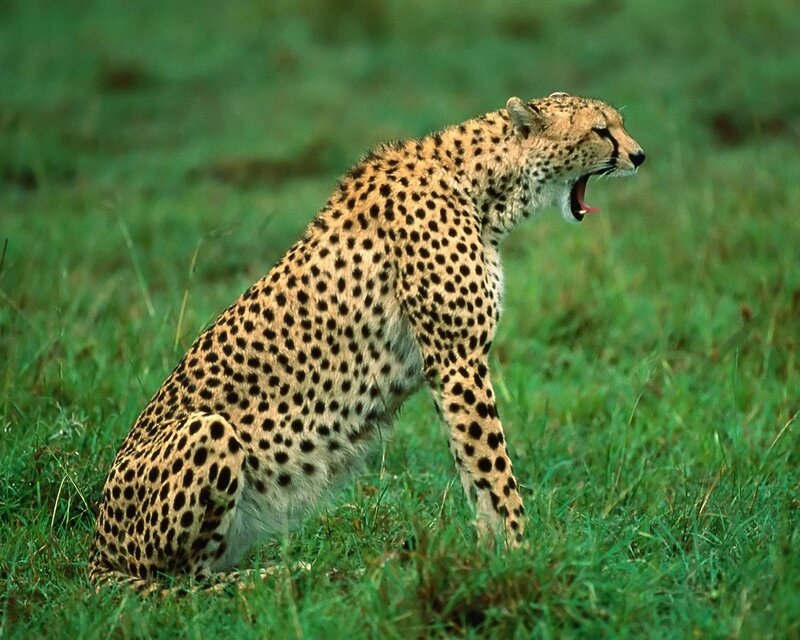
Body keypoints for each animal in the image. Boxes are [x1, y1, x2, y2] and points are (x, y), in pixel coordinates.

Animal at [88, 92, 645, 591]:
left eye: (618, 124)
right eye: (601, 130)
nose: (639, 155)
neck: (483, 184)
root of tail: (96, 549)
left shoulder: (451, 368)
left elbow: (473, 470)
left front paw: (491, 555)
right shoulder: (459, 360)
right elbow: (494, 470)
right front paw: (521, 552)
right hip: (208, 429)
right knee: (182, 579)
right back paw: (281, 576)